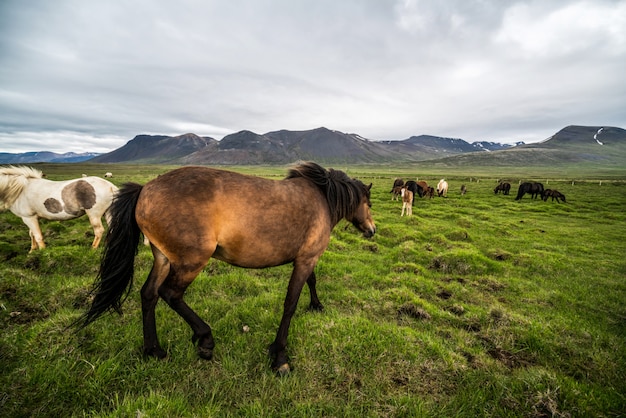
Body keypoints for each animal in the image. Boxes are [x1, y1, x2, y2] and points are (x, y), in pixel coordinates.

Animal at [81, 162, 376, 374]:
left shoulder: (306, 257)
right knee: (170, 294)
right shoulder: (306, 259)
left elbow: (311, 282)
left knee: (149, 294)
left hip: (163, 257)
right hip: (191, 261)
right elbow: (290, 303)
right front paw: (279, 356)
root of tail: (145, 189)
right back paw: (204, 340)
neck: (322, 199)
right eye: (369, 203)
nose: (372, 230)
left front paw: (316, 305)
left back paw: (154, 350)